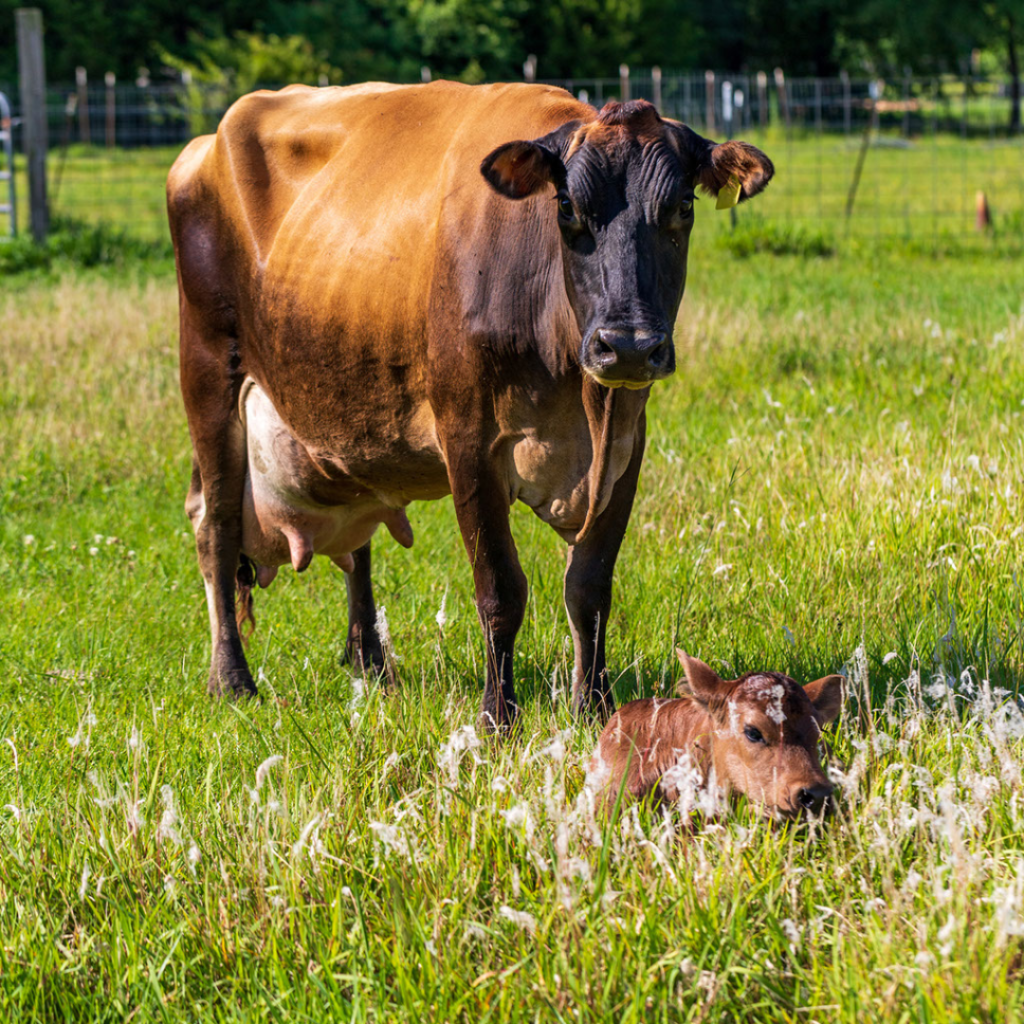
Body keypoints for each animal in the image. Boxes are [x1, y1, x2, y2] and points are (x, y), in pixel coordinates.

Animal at [167, 83, 770, 733]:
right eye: (566, 208)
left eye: (683, 205)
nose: (629, 344)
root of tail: (207, 141)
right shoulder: (468, 442)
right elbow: (501, 590)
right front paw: (497, 717)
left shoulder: (625, 446)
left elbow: (589, 589)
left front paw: (595, 707)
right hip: (208, 374)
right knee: (216, 529)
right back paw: (232, 681)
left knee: (356, 545)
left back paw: (370, 662)